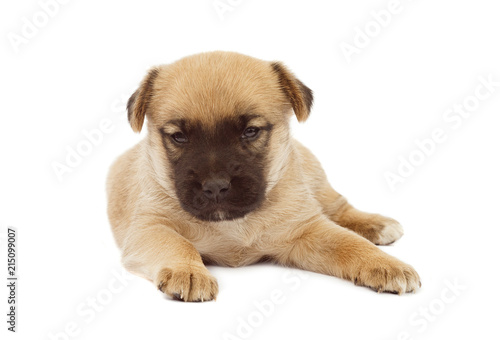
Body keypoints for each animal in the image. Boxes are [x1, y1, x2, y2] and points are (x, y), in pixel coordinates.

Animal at [107, 51, 420, 302]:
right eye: (179, 137)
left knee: (339, 207)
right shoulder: (150, 228)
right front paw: (189, 271)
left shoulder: (306, 229)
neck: (232, 224)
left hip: (318, 183)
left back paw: (376, 224)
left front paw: (386, 265)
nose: (215, 187)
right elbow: (177, 244)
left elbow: (350, 243)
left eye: (251, 131)